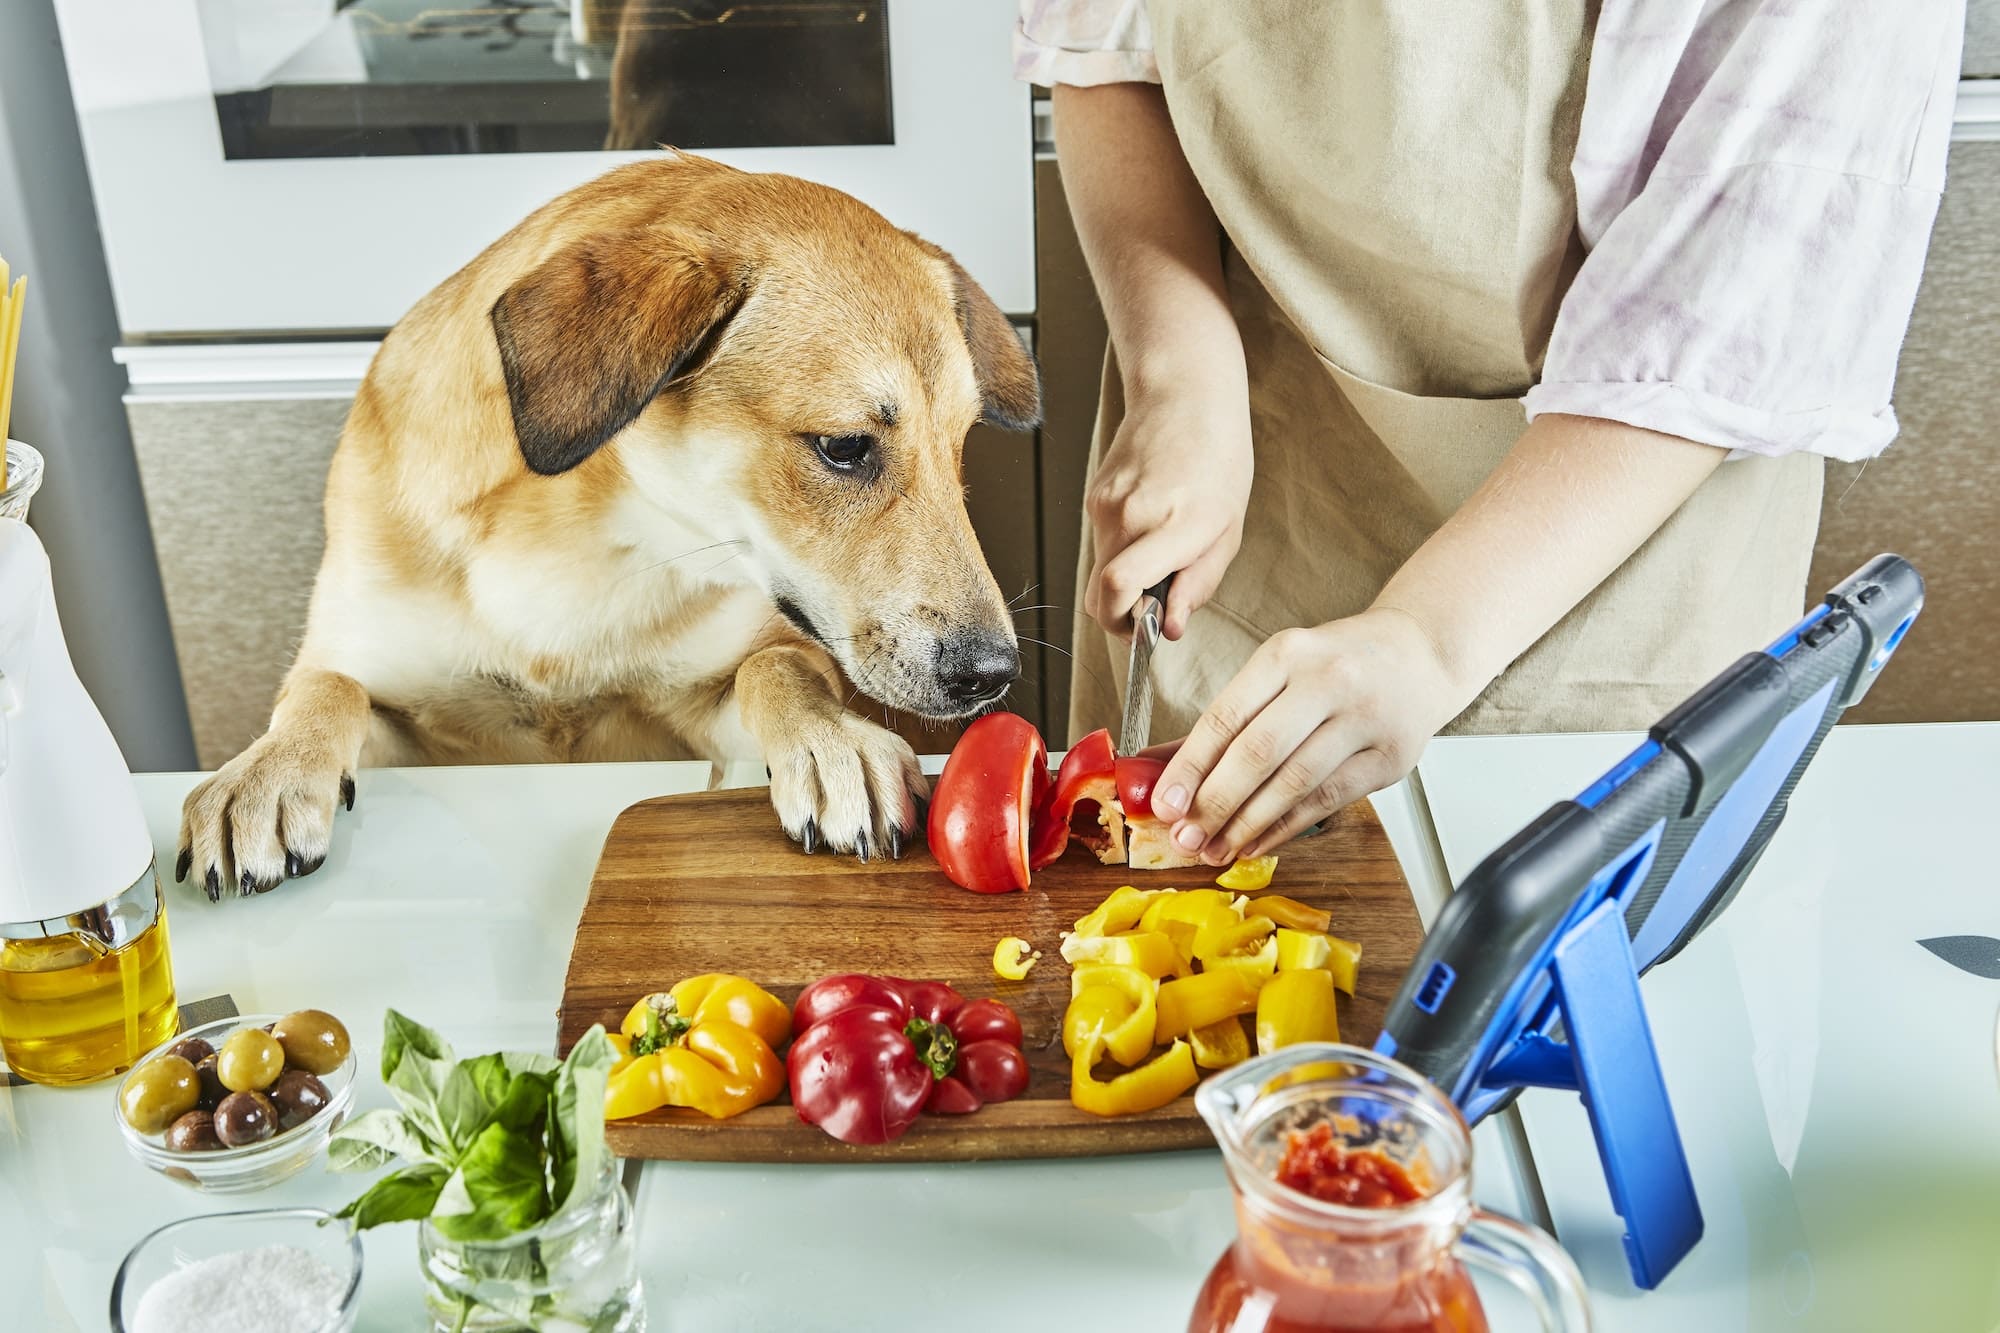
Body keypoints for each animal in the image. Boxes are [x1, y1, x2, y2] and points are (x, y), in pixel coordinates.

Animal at [180, 156, 1040, 896]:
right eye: (844, 447)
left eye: (960, 441)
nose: (994, 673)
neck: (586, 543)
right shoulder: (408, 727)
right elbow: (326, 688)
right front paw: (265, 771)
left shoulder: (707, 714)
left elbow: (779, 669)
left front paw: (833, 740)